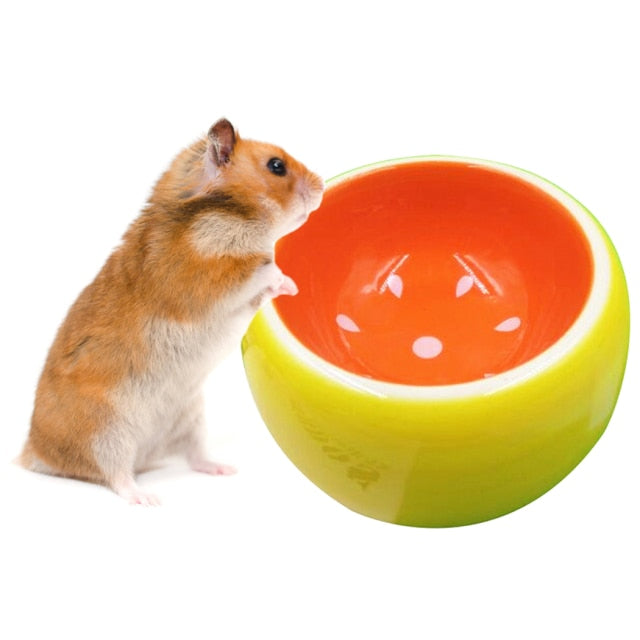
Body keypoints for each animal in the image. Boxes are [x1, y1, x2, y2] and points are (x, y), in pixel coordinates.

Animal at [19, 119, 324, 505]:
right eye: (276, 166)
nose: (322, 185)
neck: (225, 214)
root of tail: (33, 453)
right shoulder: (209, 281)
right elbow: (261, 269)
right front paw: (291, 281)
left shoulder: (239, 304)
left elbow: (258, 293)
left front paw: (289, 288)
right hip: (106, 433)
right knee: (116, 475)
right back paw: (146, 498)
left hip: (188, 418)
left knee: (194, 456)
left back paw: (224, 469)